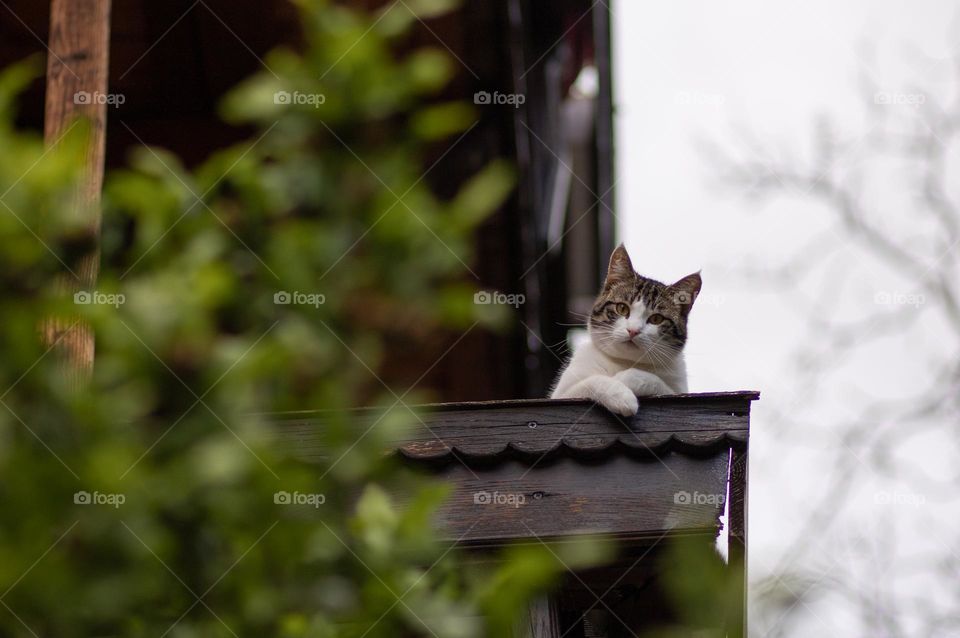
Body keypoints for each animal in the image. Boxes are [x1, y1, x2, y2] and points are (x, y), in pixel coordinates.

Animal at [552, 242, 700, 418]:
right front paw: (620, 395)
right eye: (622, 308)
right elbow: (591, 381)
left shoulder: (678, 391)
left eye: (656, 319)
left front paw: (625, 378)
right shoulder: (563, 395)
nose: (633, 330)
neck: (624, 362)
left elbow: (657, 382)